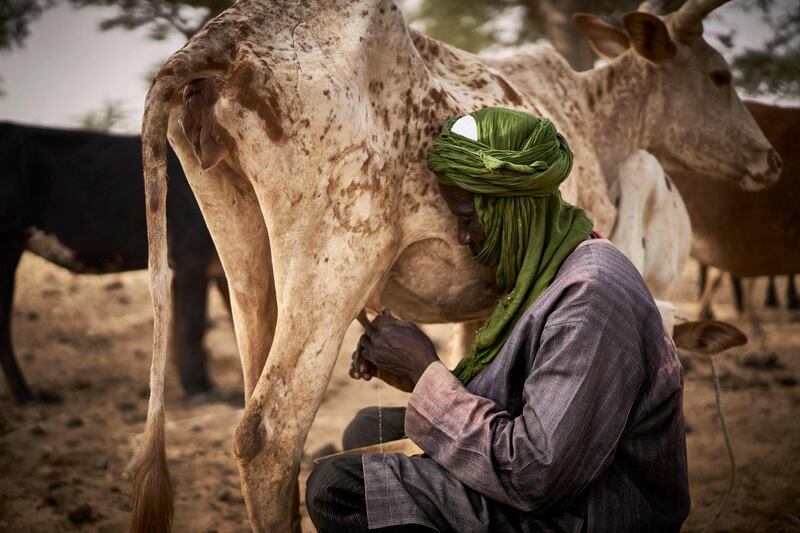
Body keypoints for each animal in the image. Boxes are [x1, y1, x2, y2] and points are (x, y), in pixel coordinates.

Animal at [133, 0, 780, 528]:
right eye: (720, 77)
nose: (770, 160)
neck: (598, 119)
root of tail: (218, 40)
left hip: (243, 249)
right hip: (336, 263)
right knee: (268, 437)